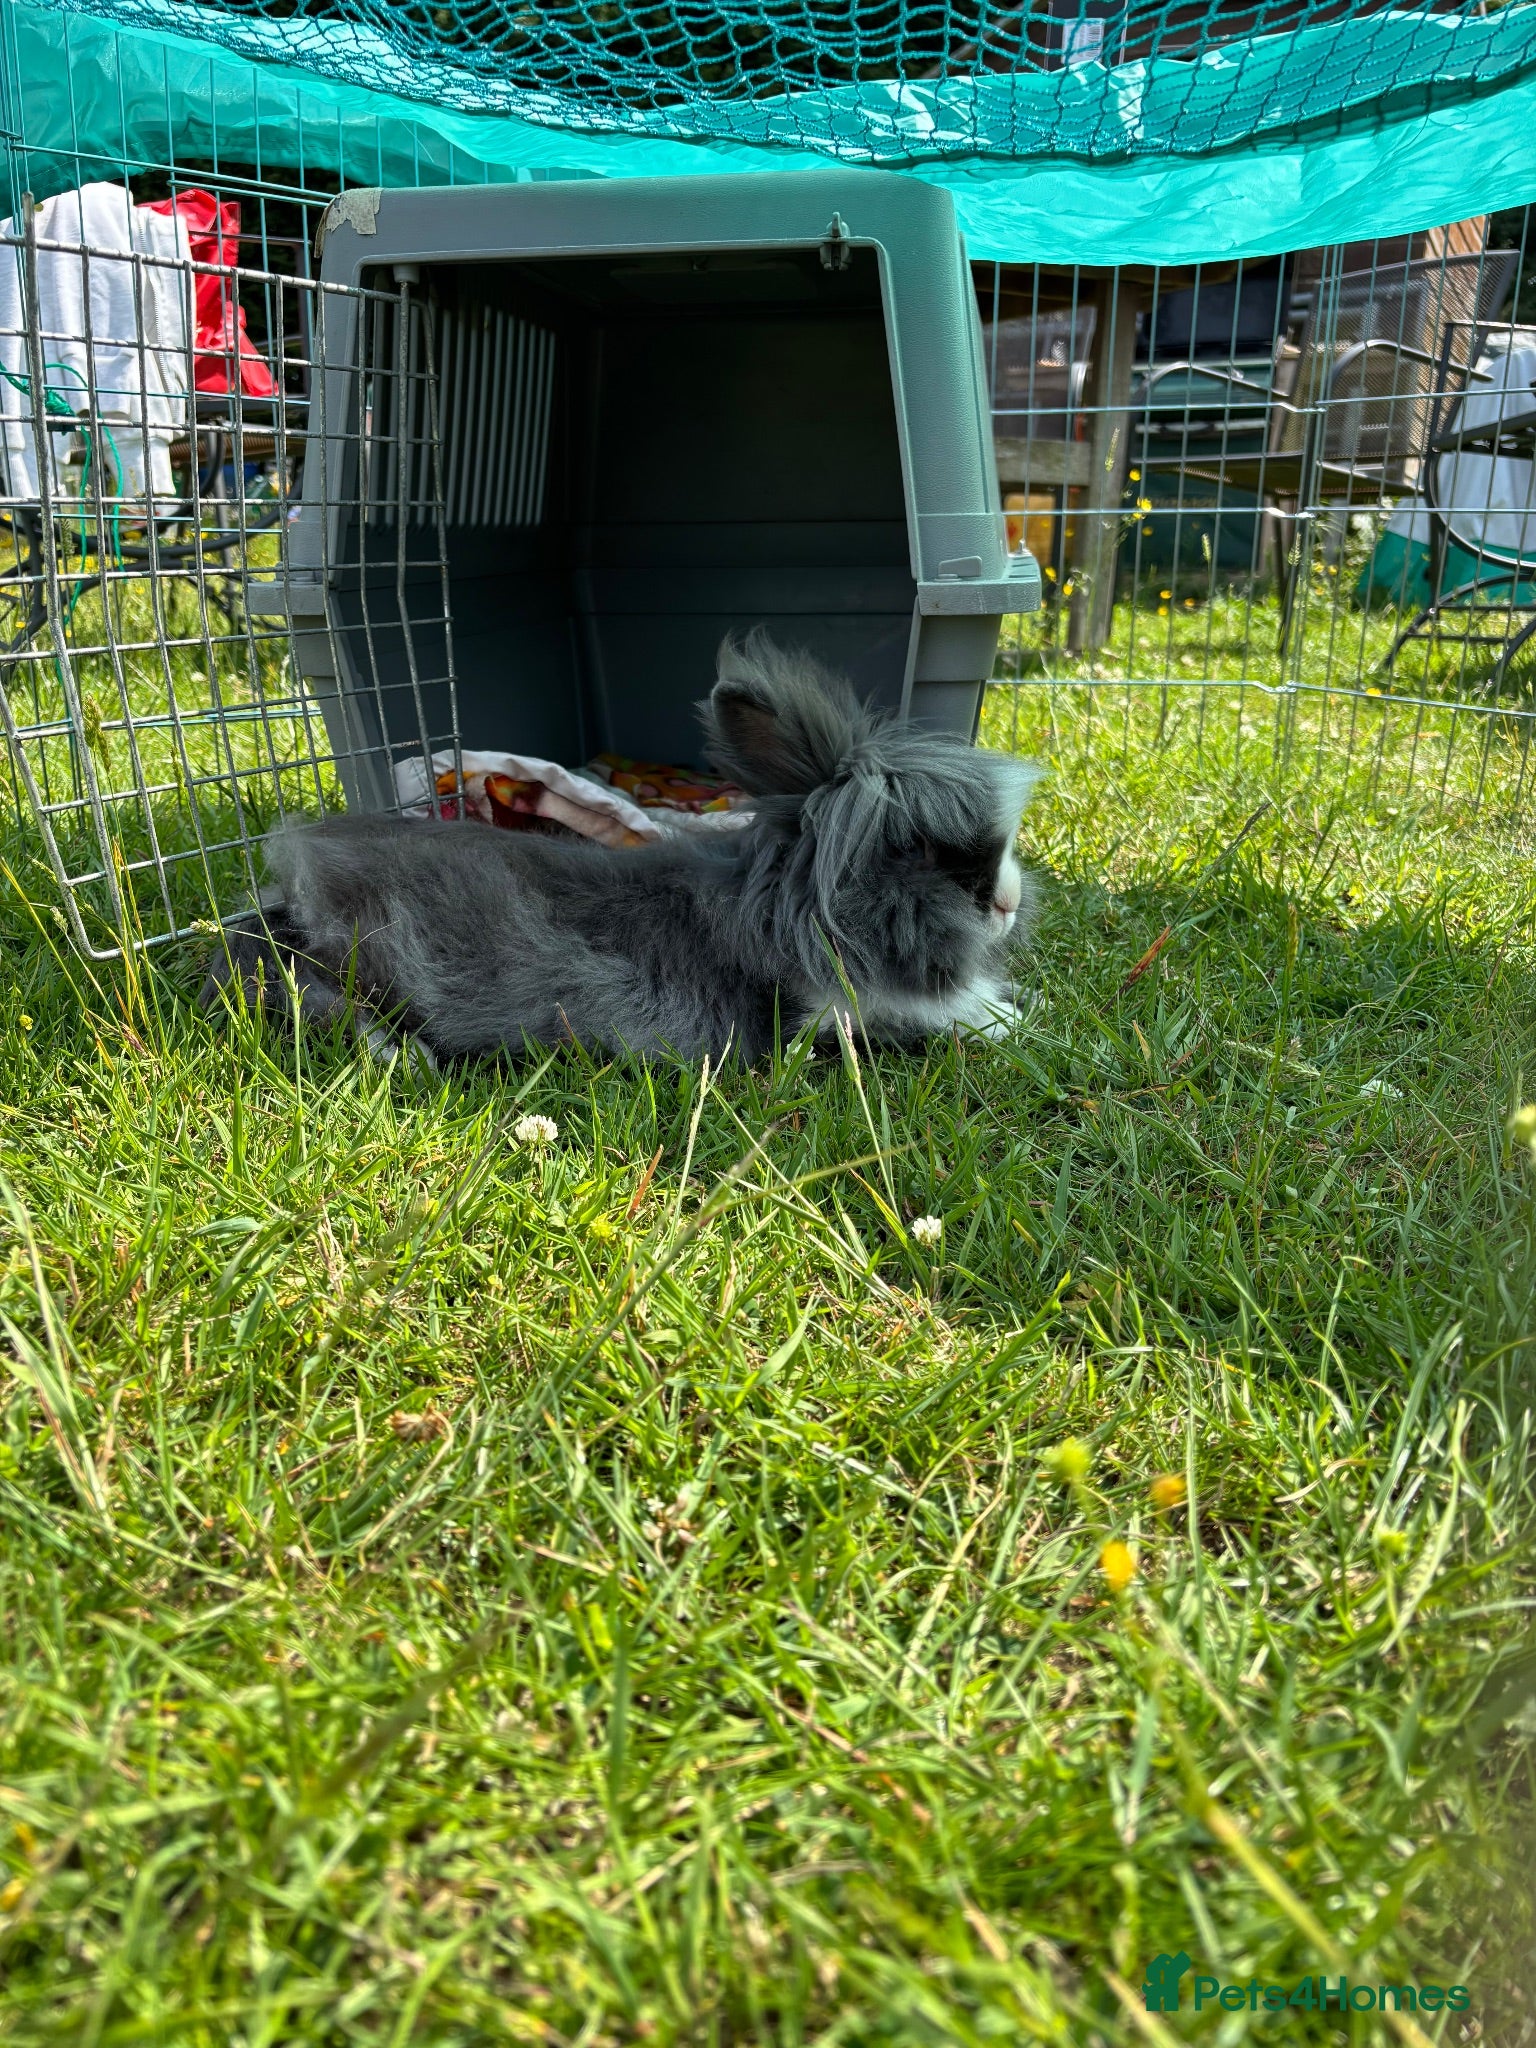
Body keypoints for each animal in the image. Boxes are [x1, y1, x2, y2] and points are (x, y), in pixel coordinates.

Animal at [202, 629, 1042, 1064]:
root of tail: (293, 893)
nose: (1006, 902)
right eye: (917, 851)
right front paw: (1006, 1025)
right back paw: (397, 1053)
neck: (783, 914)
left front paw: (1015, 1009)